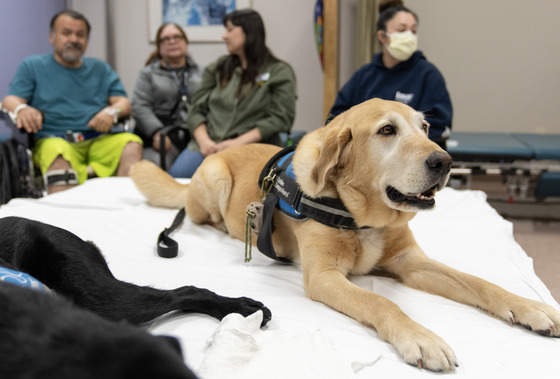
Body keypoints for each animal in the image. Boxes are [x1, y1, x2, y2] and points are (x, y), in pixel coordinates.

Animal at [130, 98, 560, 374]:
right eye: (387, 130)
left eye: (424, 127)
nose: (445, 162)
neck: (364, 217)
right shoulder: (324, 277)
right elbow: (380, 302)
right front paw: (420, 337)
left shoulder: (412, 263)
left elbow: (478, 283)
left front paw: (529, 307)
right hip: (215, 176)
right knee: (206, 217)